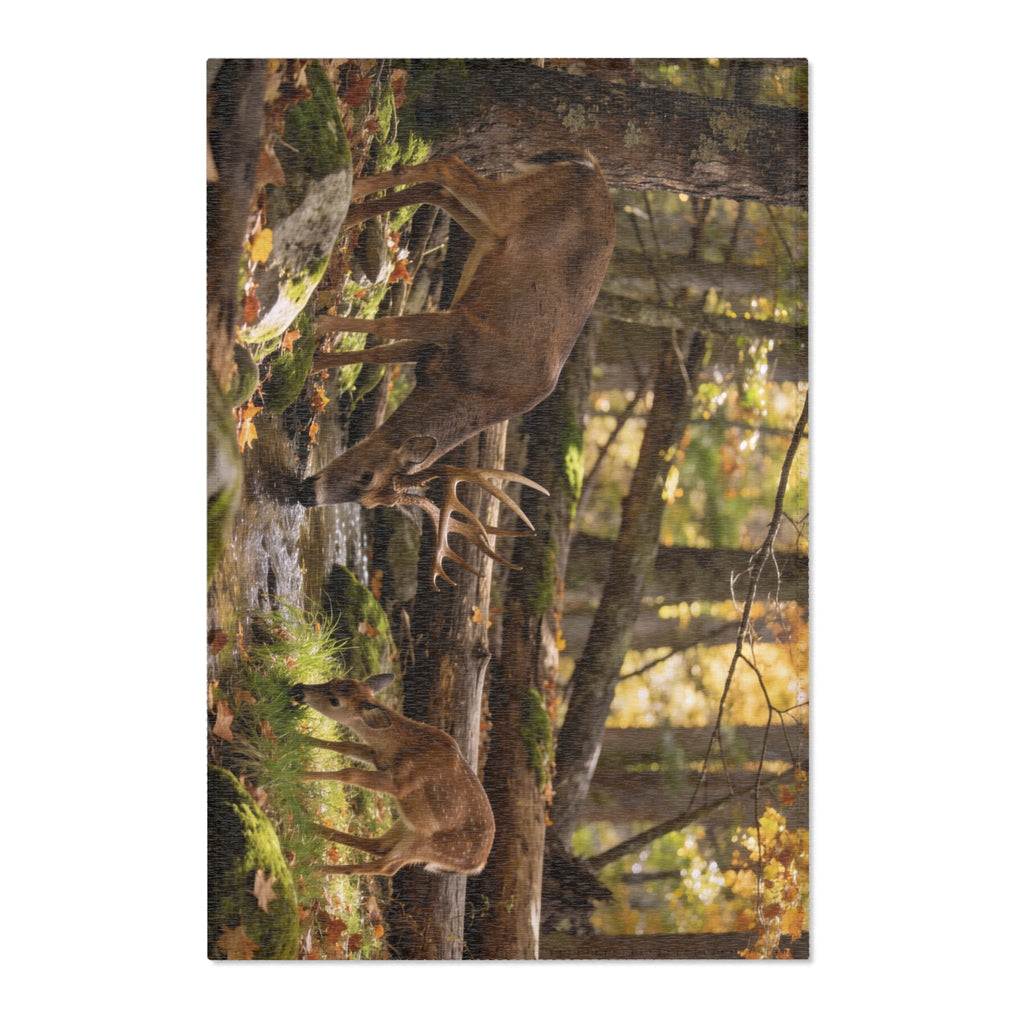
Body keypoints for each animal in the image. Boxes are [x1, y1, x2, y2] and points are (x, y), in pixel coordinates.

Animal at [291, 673, 495, 877]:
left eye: (335, 701)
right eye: (334, 680)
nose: (298, 689)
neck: (401, 748)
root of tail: (476, 865)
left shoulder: (402, 785)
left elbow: (350, 773)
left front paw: (300, 775)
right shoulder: (379, 759)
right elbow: (345, 746)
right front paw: (301, 739)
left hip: (430, 845)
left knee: (384, 867)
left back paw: (313, 868)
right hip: (409, 825)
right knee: (379, 846)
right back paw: (308, 827)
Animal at [296, 150, 616, 587]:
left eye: (372, 495)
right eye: (368, 478)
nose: (304, 494)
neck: (474, 387)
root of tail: (590, 165)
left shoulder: (435, 355)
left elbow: (383, 352)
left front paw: (317, 359)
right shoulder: (461, 324)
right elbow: (386, 328)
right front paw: (319, 324)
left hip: (492, 232)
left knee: (438, 191)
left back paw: (351, 212)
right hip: (508, 207)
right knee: (447, 166)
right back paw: (356, 191)